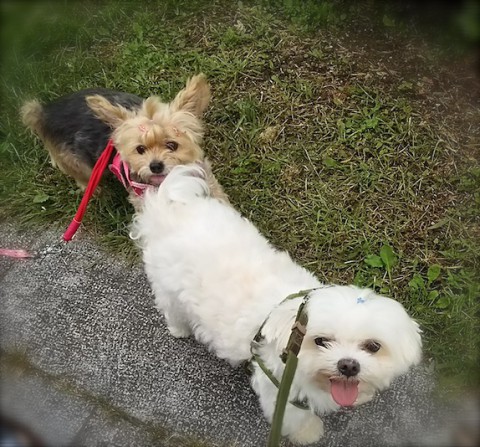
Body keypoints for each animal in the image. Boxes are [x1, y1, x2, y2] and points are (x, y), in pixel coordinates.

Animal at [130, 166, 420, 446]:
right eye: (321, 341)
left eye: (373, 346)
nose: (348, 366)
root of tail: (167, 210)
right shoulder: (278, 387)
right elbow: (296, 418)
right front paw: (309, 433)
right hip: (167, 287)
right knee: (170, 308)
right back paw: (180, 329)